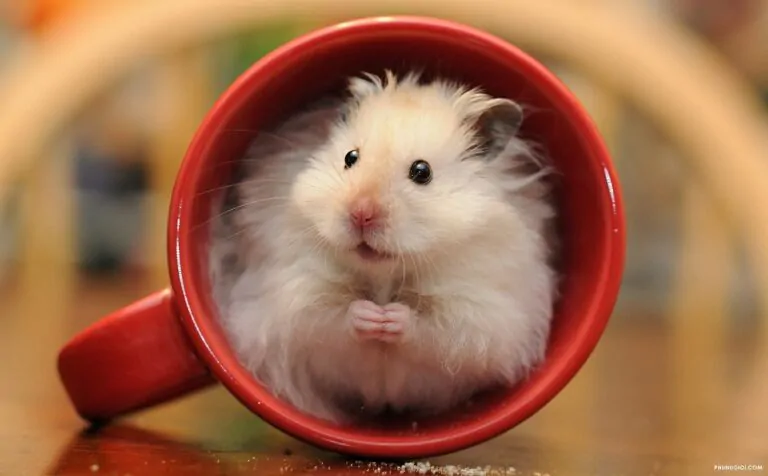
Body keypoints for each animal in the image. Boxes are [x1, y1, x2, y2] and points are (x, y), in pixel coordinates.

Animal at [209, 71, 558, 424]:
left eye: (422, 171)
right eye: (350, 158)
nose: (361, 214)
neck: (383, 276)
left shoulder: (480, 313)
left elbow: (436, 332)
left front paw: (389, 318)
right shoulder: (297, 296)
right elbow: (328, 319)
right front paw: (370, 316)